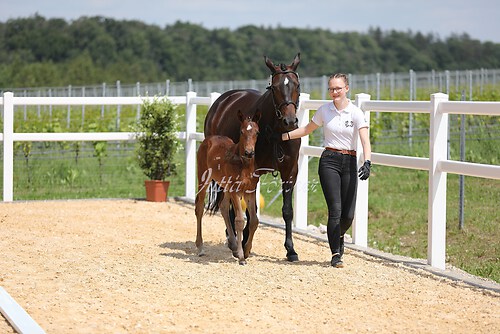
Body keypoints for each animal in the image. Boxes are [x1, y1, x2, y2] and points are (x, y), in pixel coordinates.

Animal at [194, 111, 262, 264]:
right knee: (199, 207)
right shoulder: (235, 191)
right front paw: (242, 257)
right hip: (204, 178)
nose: (249, 152)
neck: (244, 165)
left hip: (224, 186)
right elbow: (240, 220)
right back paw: (200, 247)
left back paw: (233, 244)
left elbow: (254, 220)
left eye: (257, 132)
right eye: (241, 131)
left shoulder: (250, 191)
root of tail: (209, 139)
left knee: (223, 206)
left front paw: (246, 251)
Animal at [203, 52, 300, 260]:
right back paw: (232, 238)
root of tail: (222, 101)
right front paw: (245, 240)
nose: (290, 121)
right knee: (227, 204)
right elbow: (249, 208)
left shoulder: (290, 172)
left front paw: (290, 249)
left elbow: (287, 211)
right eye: (275, 87)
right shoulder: (251, 174)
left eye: (296, 85)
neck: (276, 133)